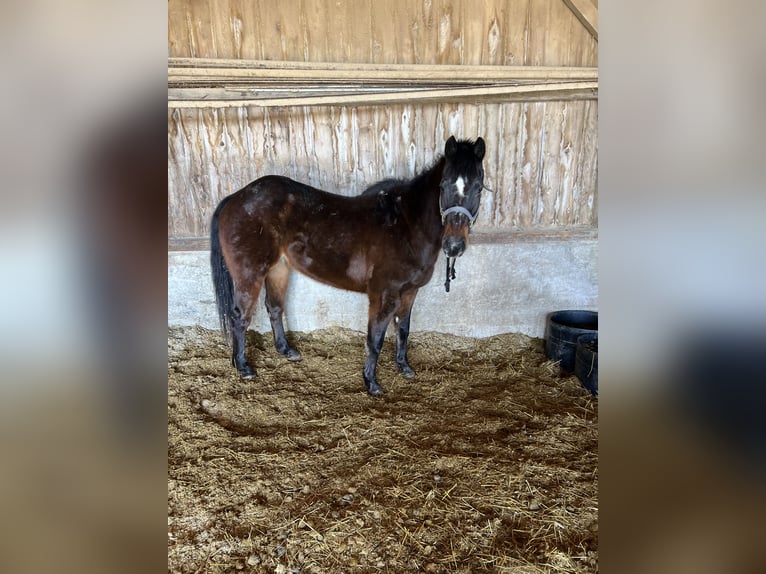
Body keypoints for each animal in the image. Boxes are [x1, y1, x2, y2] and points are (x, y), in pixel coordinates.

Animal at [210, 136, 486, 396]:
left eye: (479, 187)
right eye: (444, 185)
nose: (454, 245)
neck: (407, 226)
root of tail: (235, 197)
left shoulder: (409, 292)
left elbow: (403, 329)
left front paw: (404, 367)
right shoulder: (383, 294)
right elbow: (375, 339)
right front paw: (371, 383)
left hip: (278, 269)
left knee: (274, 307)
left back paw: (286, 351)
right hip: (250, 275)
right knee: (240, 317)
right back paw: (244, 367)